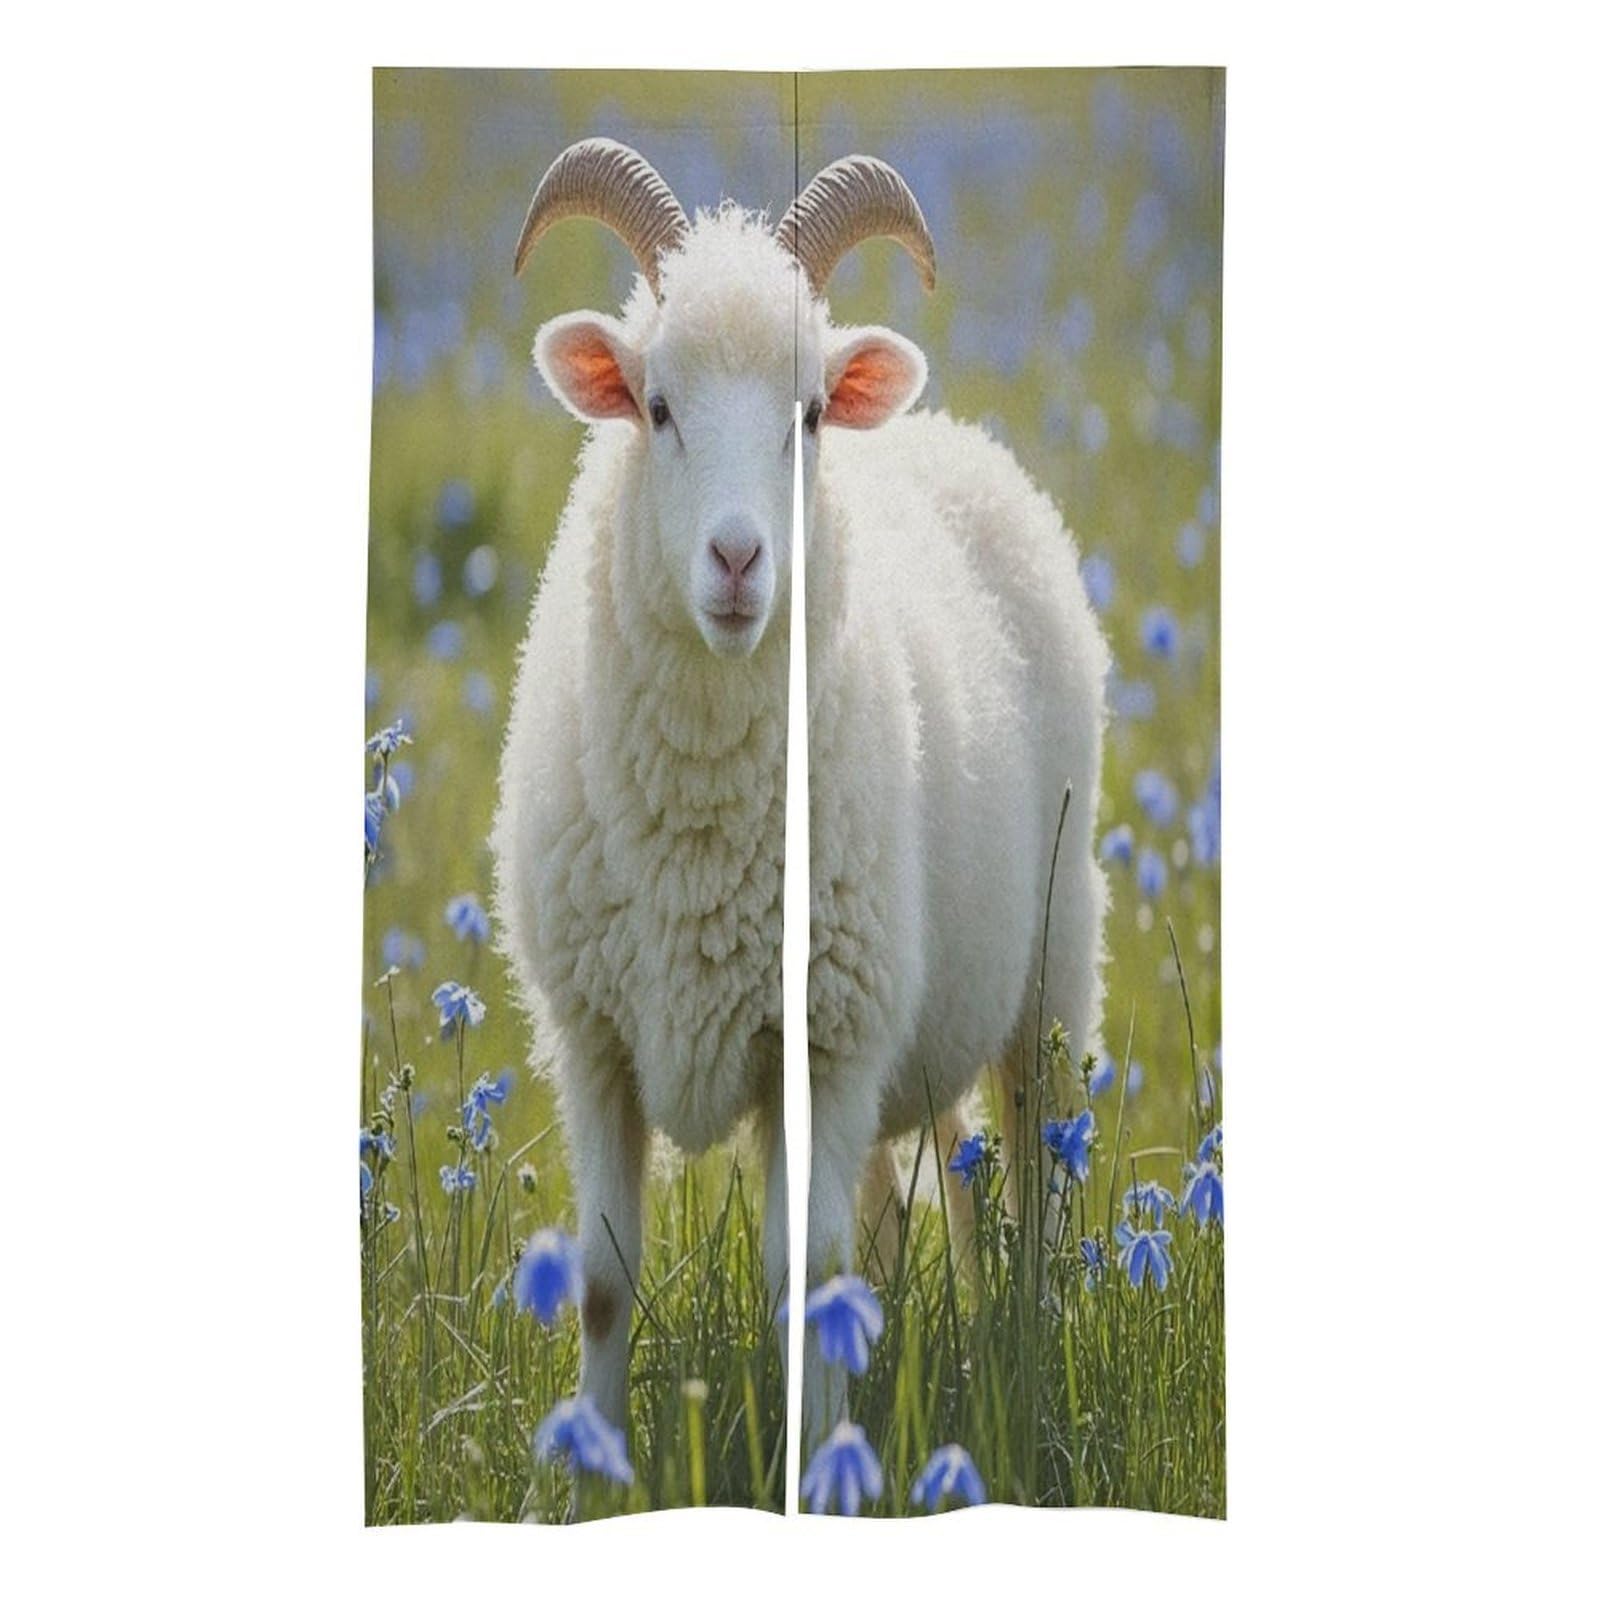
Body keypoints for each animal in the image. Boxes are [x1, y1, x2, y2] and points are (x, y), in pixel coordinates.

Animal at [491, 139, 1109, 1442]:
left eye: (811, 413)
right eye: (655, 407)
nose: (736, 559)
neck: (697, 821)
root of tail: (952, 434)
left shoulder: (820, 1045)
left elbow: (802, 1278)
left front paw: (819, 1456)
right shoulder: (599, 1039)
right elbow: (606, 1281)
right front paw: (586, 1462)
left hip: (1048, 967)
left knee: (1032, 1187)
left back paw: (1030, 1351)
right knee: (925, 1196)